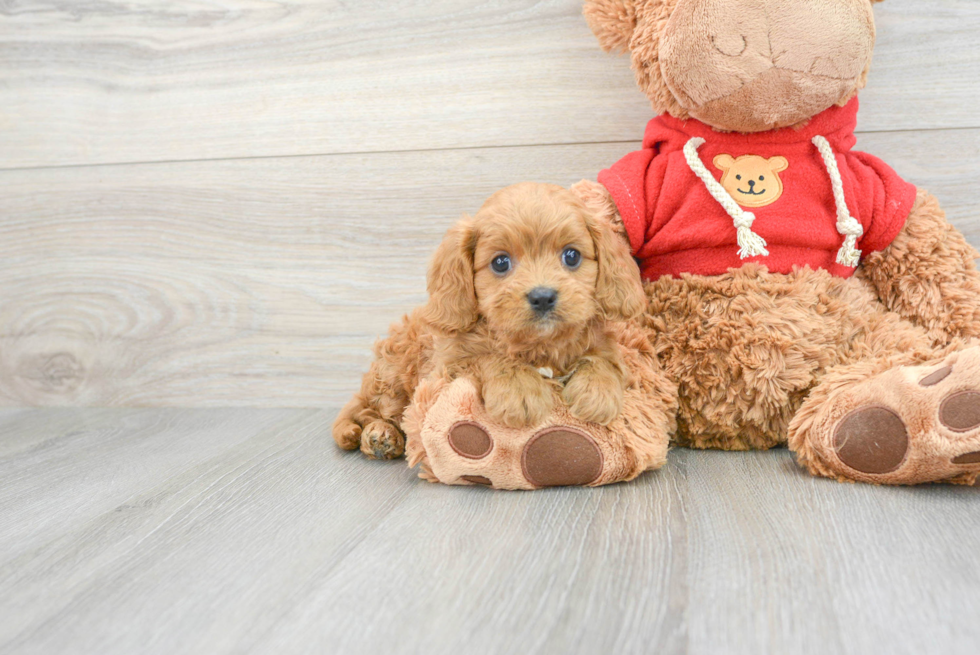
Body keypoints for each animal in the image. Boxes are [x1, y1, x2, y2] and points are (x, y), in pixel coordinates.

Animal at [334, 183, 648, 462]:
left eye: (571, 256)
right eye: (500, 263)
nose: (543, 297)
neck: (538, 345)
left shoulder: (606, 348)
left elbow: (602, 361)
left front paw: (598, 393)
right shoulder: (448, 364)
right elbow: (489, 357)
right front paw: (520, 390)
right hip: (394, 374)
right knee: (368, 410)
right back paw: (379, 435)